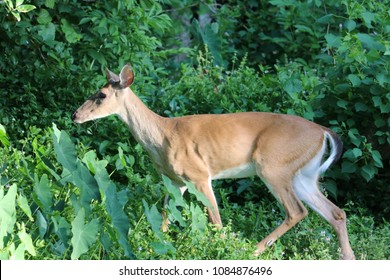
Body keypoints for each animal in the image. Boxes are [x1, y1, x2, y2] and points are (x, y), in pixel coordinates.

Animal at [71, 64, 354, 260]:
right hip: (303, 175)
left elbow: (215, 220)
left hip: (273, 166)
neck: (162, 136)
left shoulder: (199, 174)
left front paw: (220, 248)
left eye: (101, 95)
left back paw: (250, 251)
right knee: (336, 212)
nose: (75, 115)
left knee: (297, 211)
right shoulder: (175, 181)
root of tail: (324, 132)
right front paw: (155, 246)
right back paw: (347, 258)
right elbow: (165, 217)